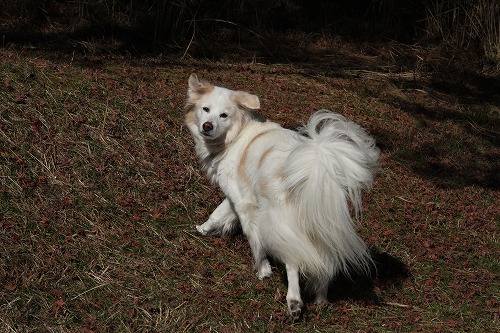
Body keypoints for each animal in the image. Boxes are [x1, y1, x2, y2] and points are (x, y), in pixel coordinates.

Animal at [184, 73, 378, 320]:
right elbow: (217, 214)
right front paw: (202, 229)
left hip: (275, 222)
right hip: (319, 225)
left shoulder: (244, 203)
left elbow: (254, 239)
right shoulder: (237, 195)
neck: (236, 135)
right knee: (323, 263)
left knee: (294, 261)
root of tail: (315, 166)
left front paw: (262, 269)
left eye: (224, 115)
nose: (207, 126)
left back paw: (294, 301)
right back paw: (321, 299)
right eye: (205, 109)